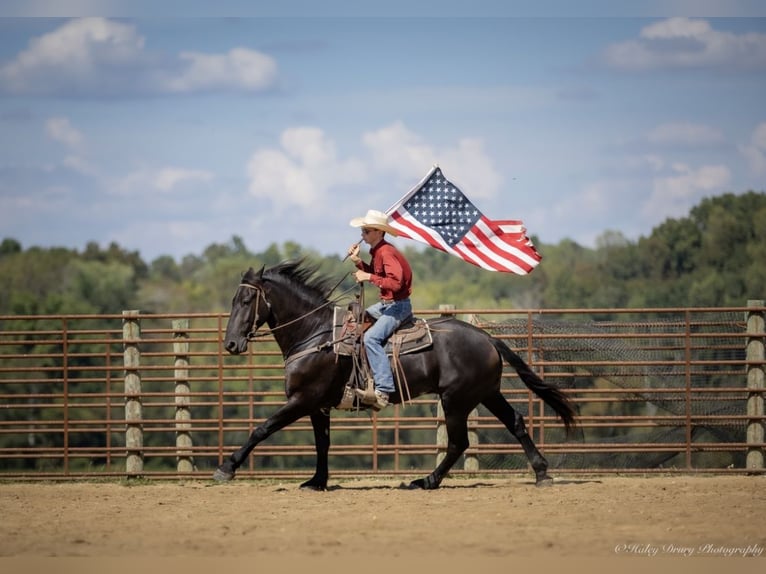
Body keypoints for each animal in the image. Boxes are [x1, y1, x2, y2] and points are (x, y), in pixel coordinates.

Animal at [214, 260, 576, 490]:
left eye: (246, 300)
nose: (231, 343)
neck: (315, 334)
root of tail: (487, 338)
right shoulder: (319, 406)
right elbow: (322, 443)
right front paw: (317, 482)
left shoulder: (303, 400)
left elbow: (261, 428)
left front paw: (226, 468)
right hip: (486, 394)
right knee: (514, 422)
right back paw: (542, 473)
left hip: (456, 400)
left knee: (458, 442)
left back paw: (426, 481)